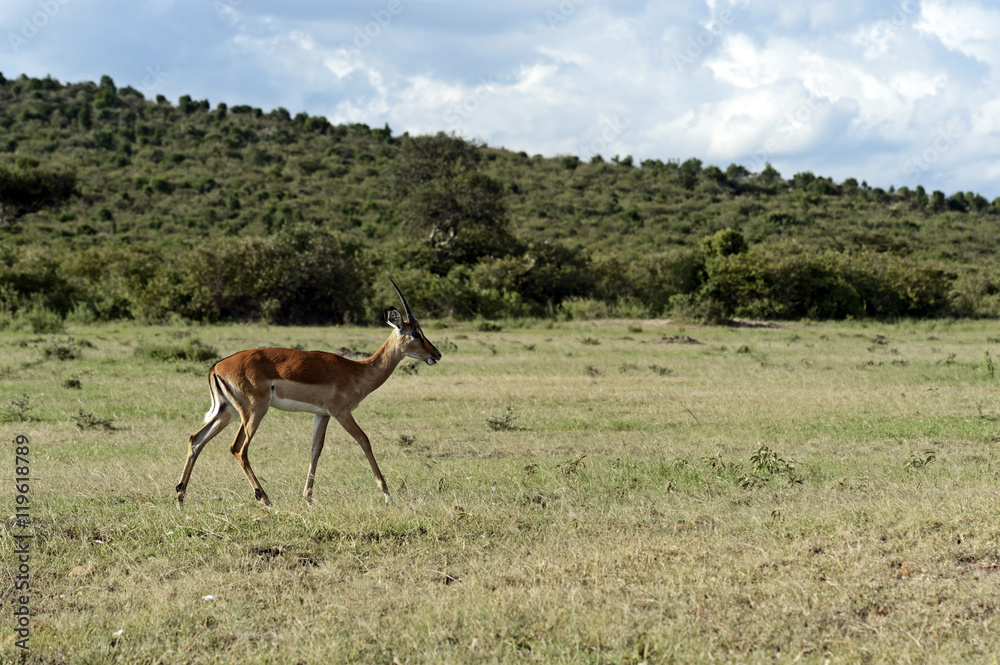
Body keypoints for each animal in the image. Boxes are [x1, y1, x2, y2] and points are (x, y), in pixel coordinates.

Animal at [174, 279, 441, 507]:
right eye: (415, 333)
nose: (436, 355)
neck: (357, 370)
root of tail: (216, 366)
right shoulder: (341, 412)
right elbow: (364, 440)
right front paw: (386, 494)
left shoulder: (322, 415)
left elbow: (315, 449)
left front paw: (308, 498)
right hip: (253, 411)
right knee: (238, 449)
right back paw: (265, 499)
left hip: (227, 412)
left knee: (196, 440)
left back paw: (179, 498)